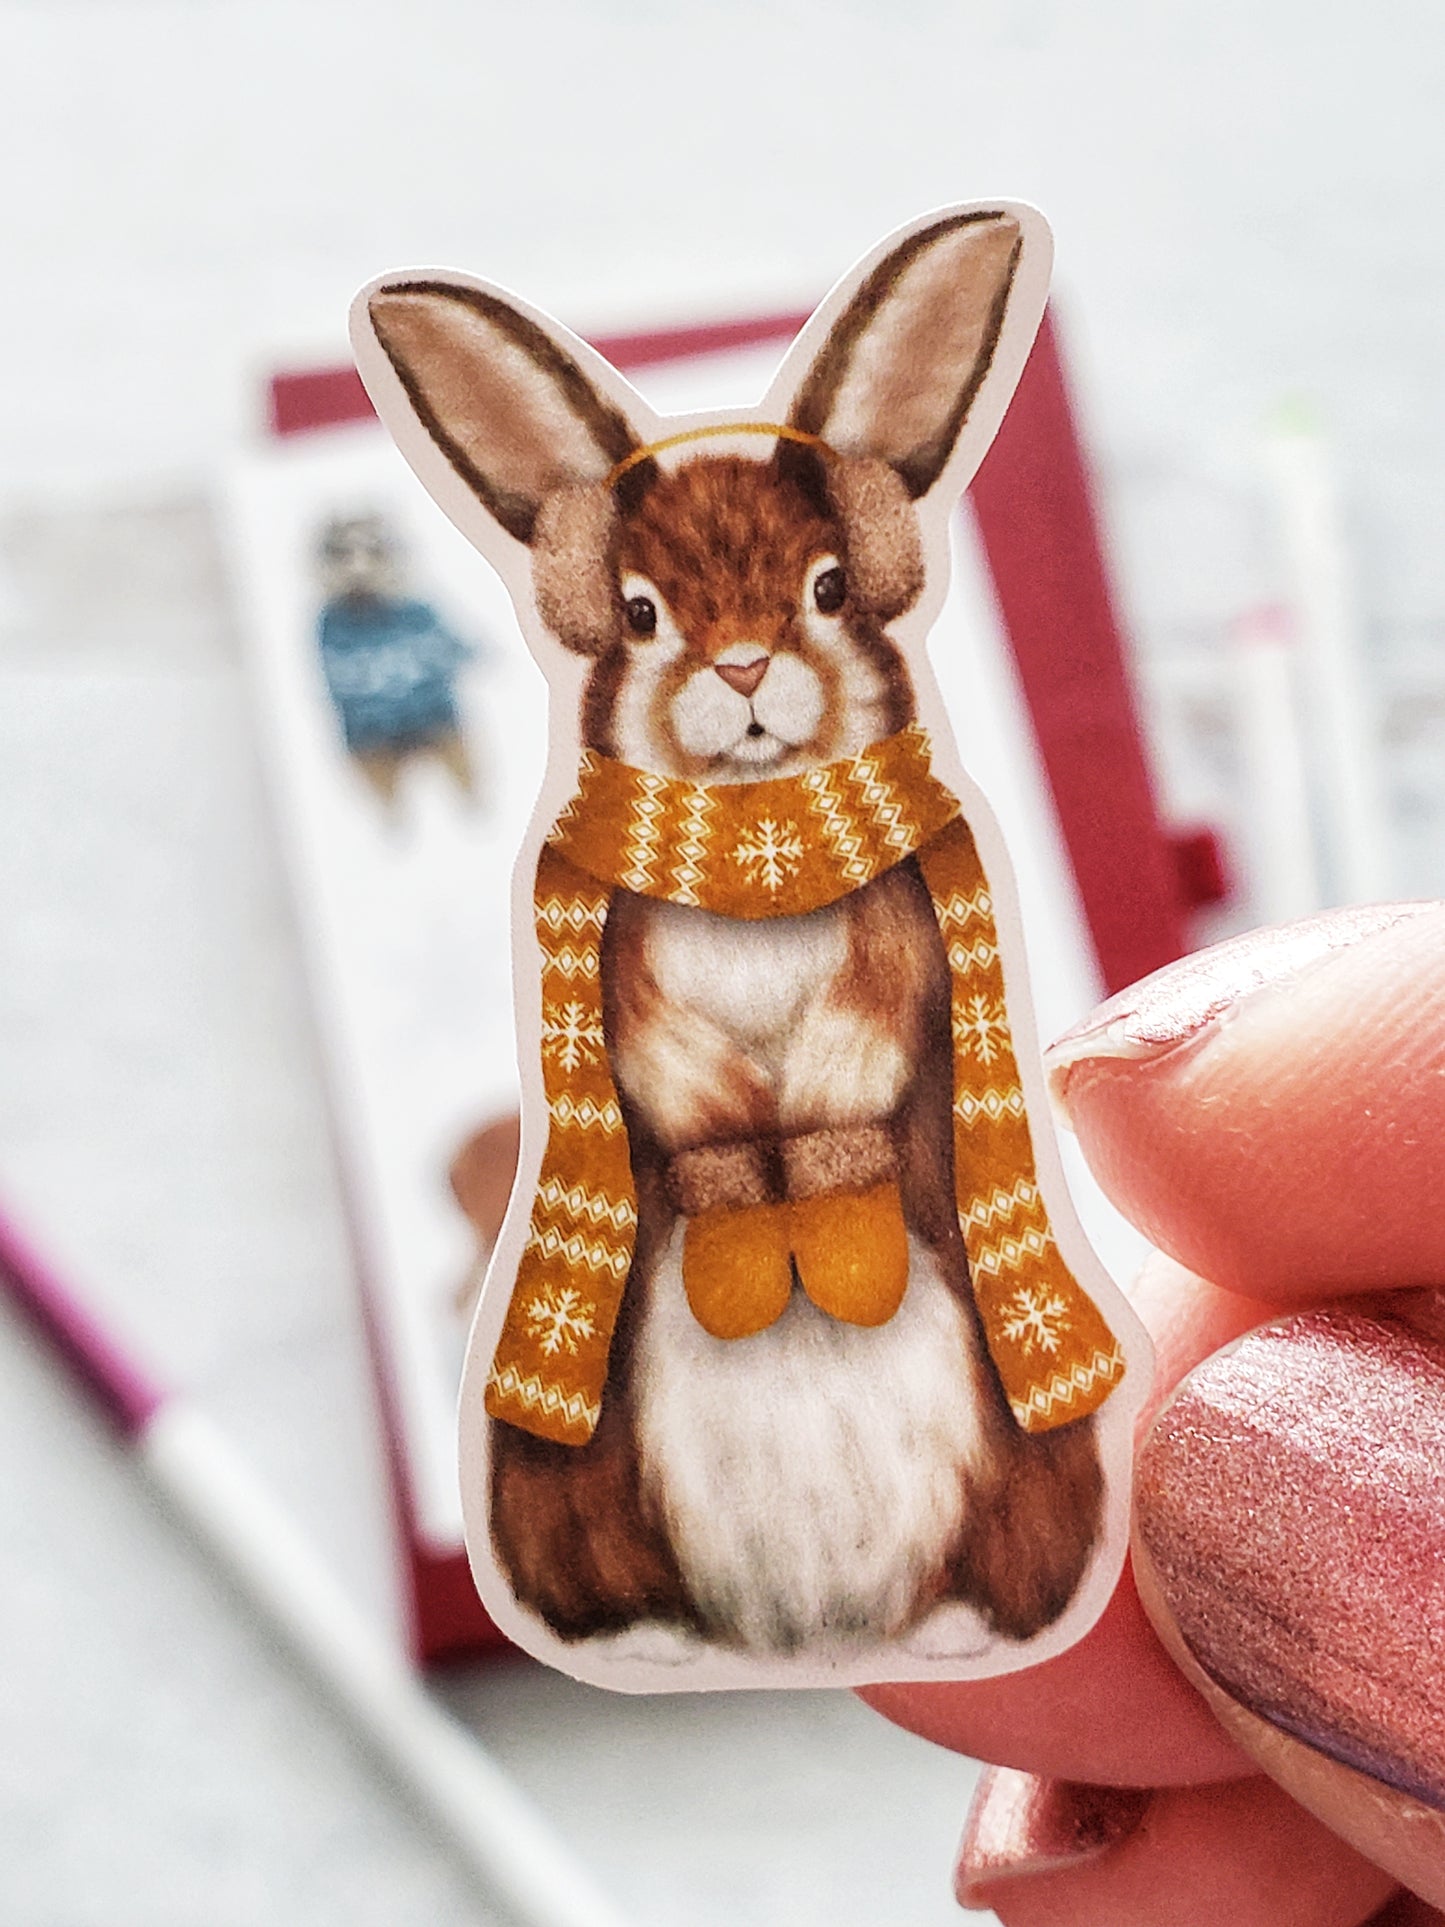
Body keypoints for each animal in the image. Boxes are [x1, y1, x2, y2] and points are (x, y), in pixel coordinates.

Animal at [356, 207, 1148, 1688]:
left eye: (829, 589)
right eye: (642, 611)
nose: (739, 671)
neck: (758, 842)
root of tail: (809, 1638)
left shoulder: (893, 949)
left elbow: (860, 1036)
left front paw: (818, 1168)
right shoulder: (630, 986)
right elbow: (680, 1076)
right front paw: (741, 1172)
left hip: (1029, 1471)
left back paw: (950, 1621)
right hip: (569, 1488)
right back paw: (662, 1634)